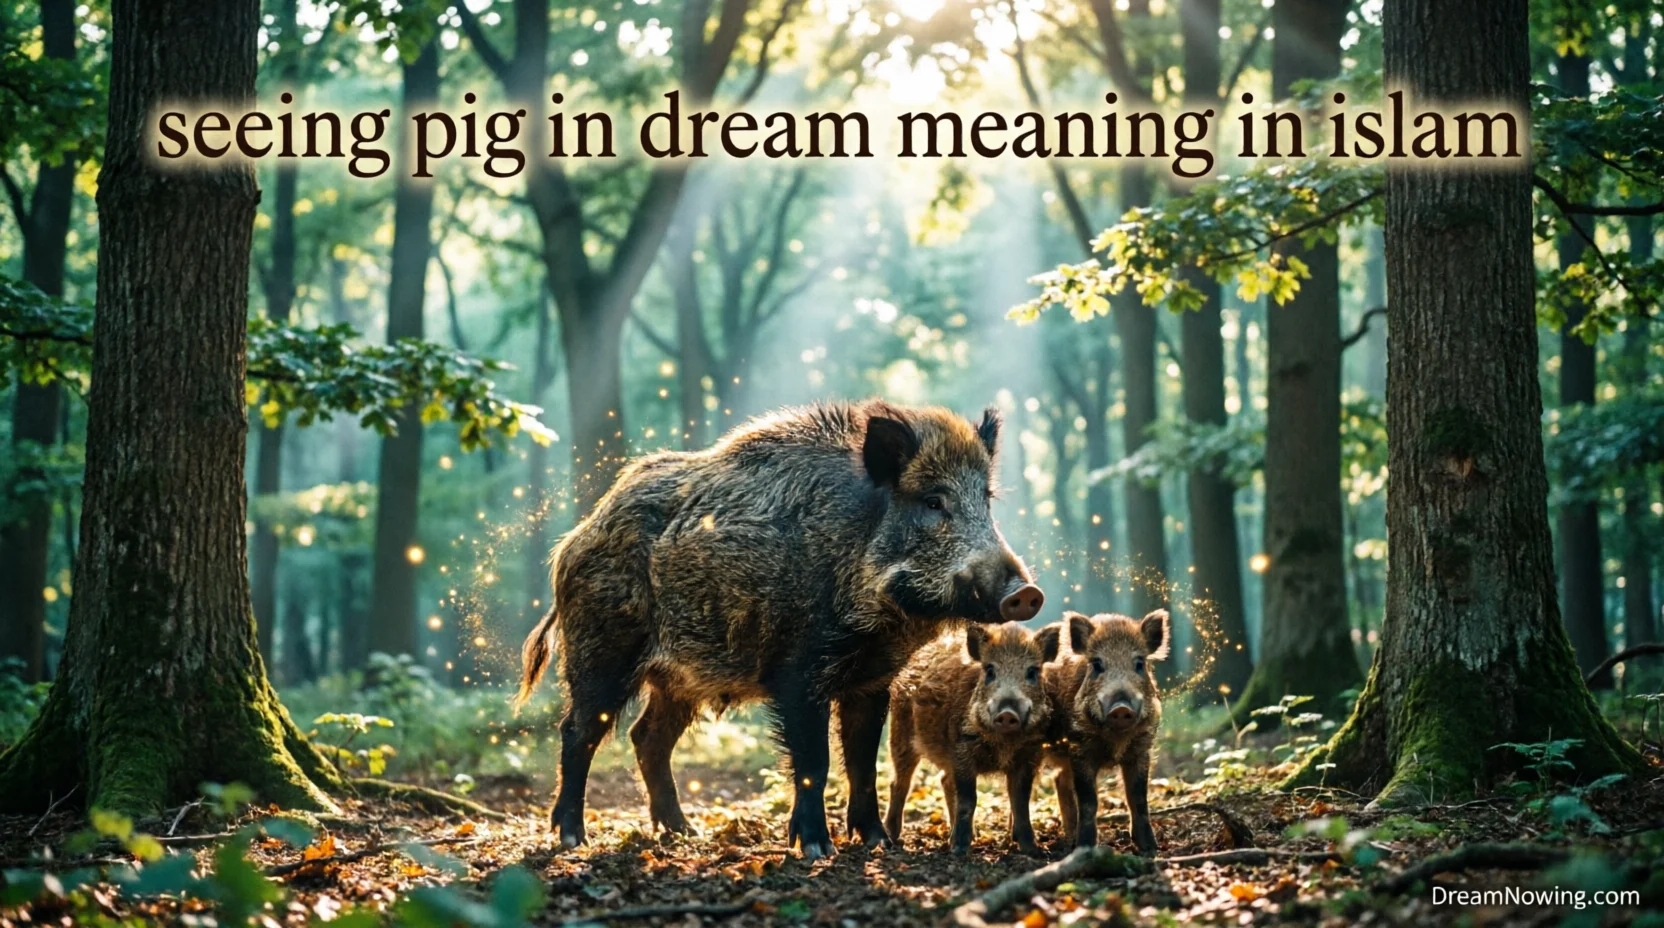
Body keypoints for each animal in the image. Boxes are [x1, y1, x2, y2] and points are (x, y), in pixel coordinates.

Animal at [515, 400, 1043, 859]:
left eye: (986, 501)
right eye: (934, 501)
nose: (1026, 593)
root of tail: (575, 538)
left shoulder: (872, 680)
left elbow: (862, 762)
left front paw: (878, 843)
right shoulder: (798, 671)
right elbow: (815, 761)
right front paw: (816, 849)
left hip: (677, 679)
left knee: (647, 737)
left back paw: (684, 833)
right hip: (602, 646)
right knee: (578, 730)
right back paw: (572, 837)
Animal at [884, 622, 1063, 856]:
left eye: (1032, 671)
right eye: (990, 670)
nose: (1007, 713)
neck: (1004, 743)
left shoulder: (1030, 755)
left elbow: (1020, 801)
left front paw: (1035, 851)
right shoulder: (962, 749)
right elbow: (969, 799)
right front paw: (960, 851)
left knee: (944, 781)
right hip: (900, 733)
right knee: (899, 782)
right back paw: (893, 838)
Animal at [1041, 609, 1168, 855]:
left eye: (1139, 663)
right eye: (1097, 664)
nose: (1121, 707)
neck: (1115, 741)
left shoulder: (1142, 749)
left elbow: (1138, 797)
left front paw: (1149, 849)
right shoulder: (1079, 749)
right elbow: (1089, 800)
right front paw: (1086, 848)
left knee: (1060, 780)